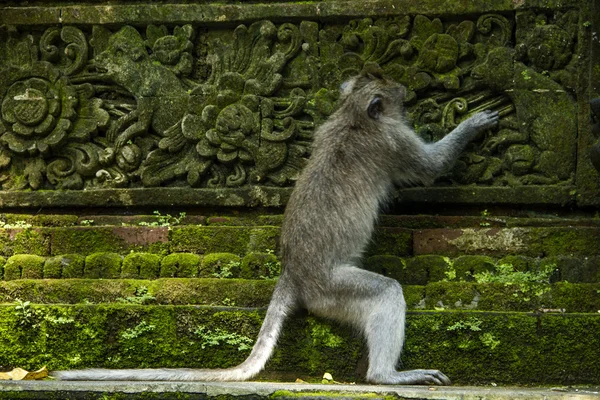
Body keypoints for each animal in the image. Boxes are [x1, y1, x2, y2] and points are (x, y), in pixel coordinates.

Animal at [54, 72, 500, 384]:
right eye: (393, 91)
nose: (406, 89)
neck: (352, 117)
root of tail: (292, 273)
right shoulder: (394, 141)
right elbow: (432, 167)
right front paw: (473, 125)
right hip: (332, 290)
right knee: (386, 292)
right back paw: (387, 376)